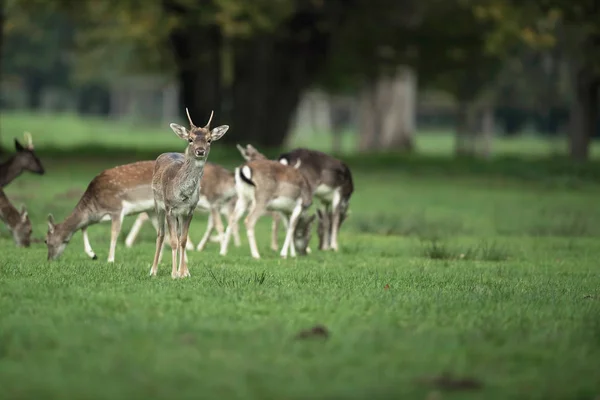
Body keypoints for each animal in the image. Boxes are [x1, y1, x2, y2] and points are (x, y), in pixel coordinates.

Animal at [150, 108, 230, 278]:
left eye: (209, 140)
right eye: (190, 139)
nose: (200, 151)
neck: (182, 195)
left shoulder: (190, 210)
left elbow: (183, 240)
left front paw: (183, 273)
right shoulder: (169, 209)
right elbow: (173, 240)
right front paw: (174, 274)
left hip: (180, 215)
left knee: (180, 235)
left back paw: (185, 270)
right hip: (157, 204)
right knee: (161, 234)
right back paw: (153, 270)